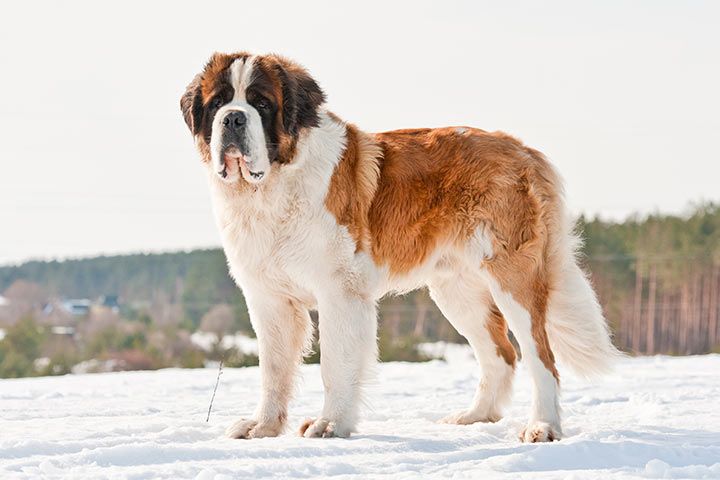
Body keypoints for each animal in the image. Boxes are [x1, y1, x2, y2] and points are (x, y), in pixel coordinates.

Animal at [180, 51, 620, 442]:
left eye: (261, 103)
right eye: (217, 103)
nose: (233, 118)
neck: (270, 187)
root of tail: (523, 149)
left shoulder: (339, 291)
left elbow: (334, 363)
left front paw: (330, 425)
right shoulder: (269, 299)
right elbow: (273, 370)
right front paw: (263, 428)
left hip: (512, 278)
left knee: (540, 356)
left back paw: (542, 427)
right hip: (456, 292)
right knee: (500, 354)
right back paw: (475, 417)